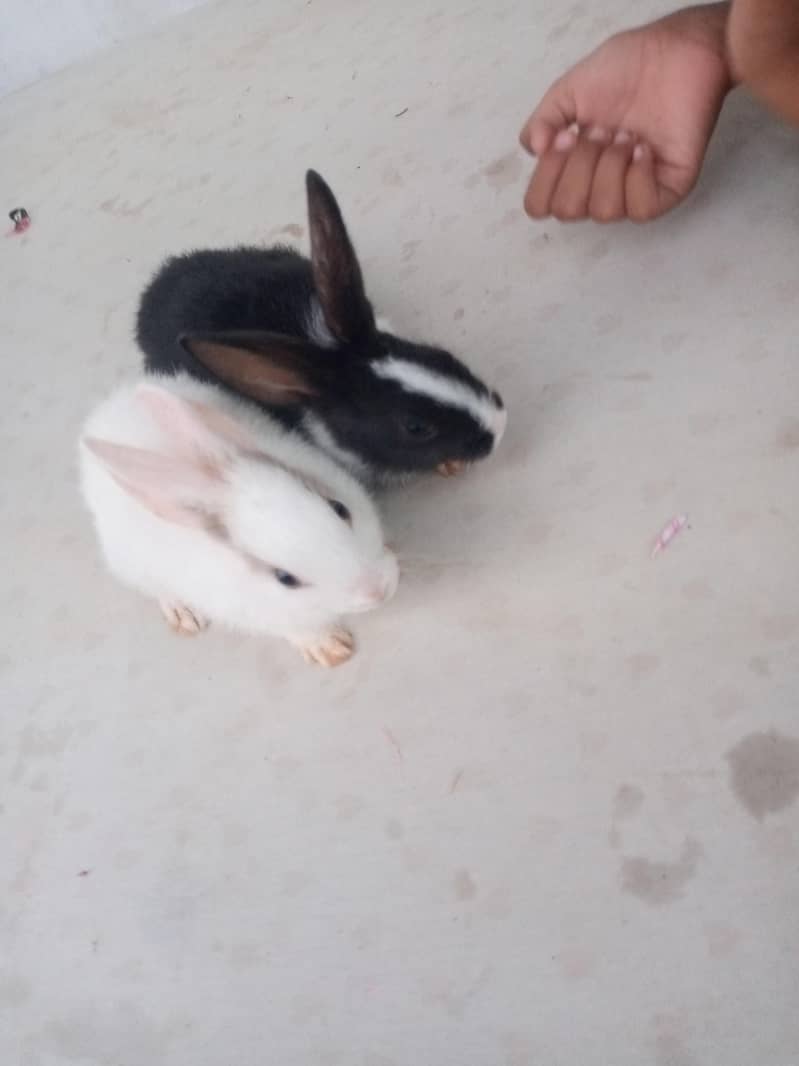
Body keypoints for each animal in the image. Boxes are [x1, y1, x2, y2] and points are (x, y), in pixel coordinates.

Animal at [79, 373, 399, 667]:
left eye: (339, 508)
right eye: (285, 578)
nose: (379, 590)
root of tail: (106, 411)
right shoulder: (259, 613)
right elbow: (297, 628)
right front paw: (330, 649)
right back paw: (183, 614)